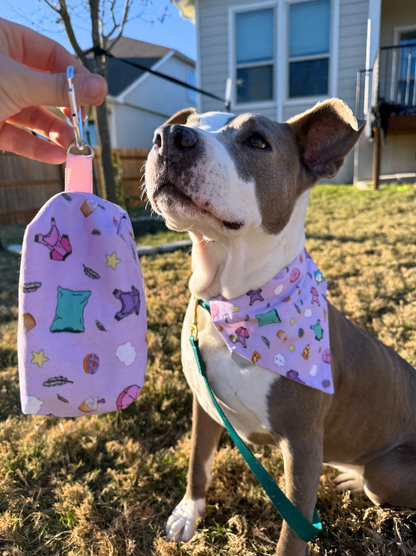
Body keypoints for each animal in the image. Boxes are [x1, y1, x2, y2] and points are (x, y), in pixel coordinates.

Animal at [145, 101, 416, 556]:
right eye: (192, 123)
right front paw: (188, 513)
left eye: (257, 141)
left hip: (385, 473)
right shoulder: (205, 405)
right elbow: (198, 463)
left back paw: (356, 476)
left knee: (376, 480)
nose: (169, 136)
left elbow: (292, 534)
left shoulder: (302, 445)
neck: (231, 303)